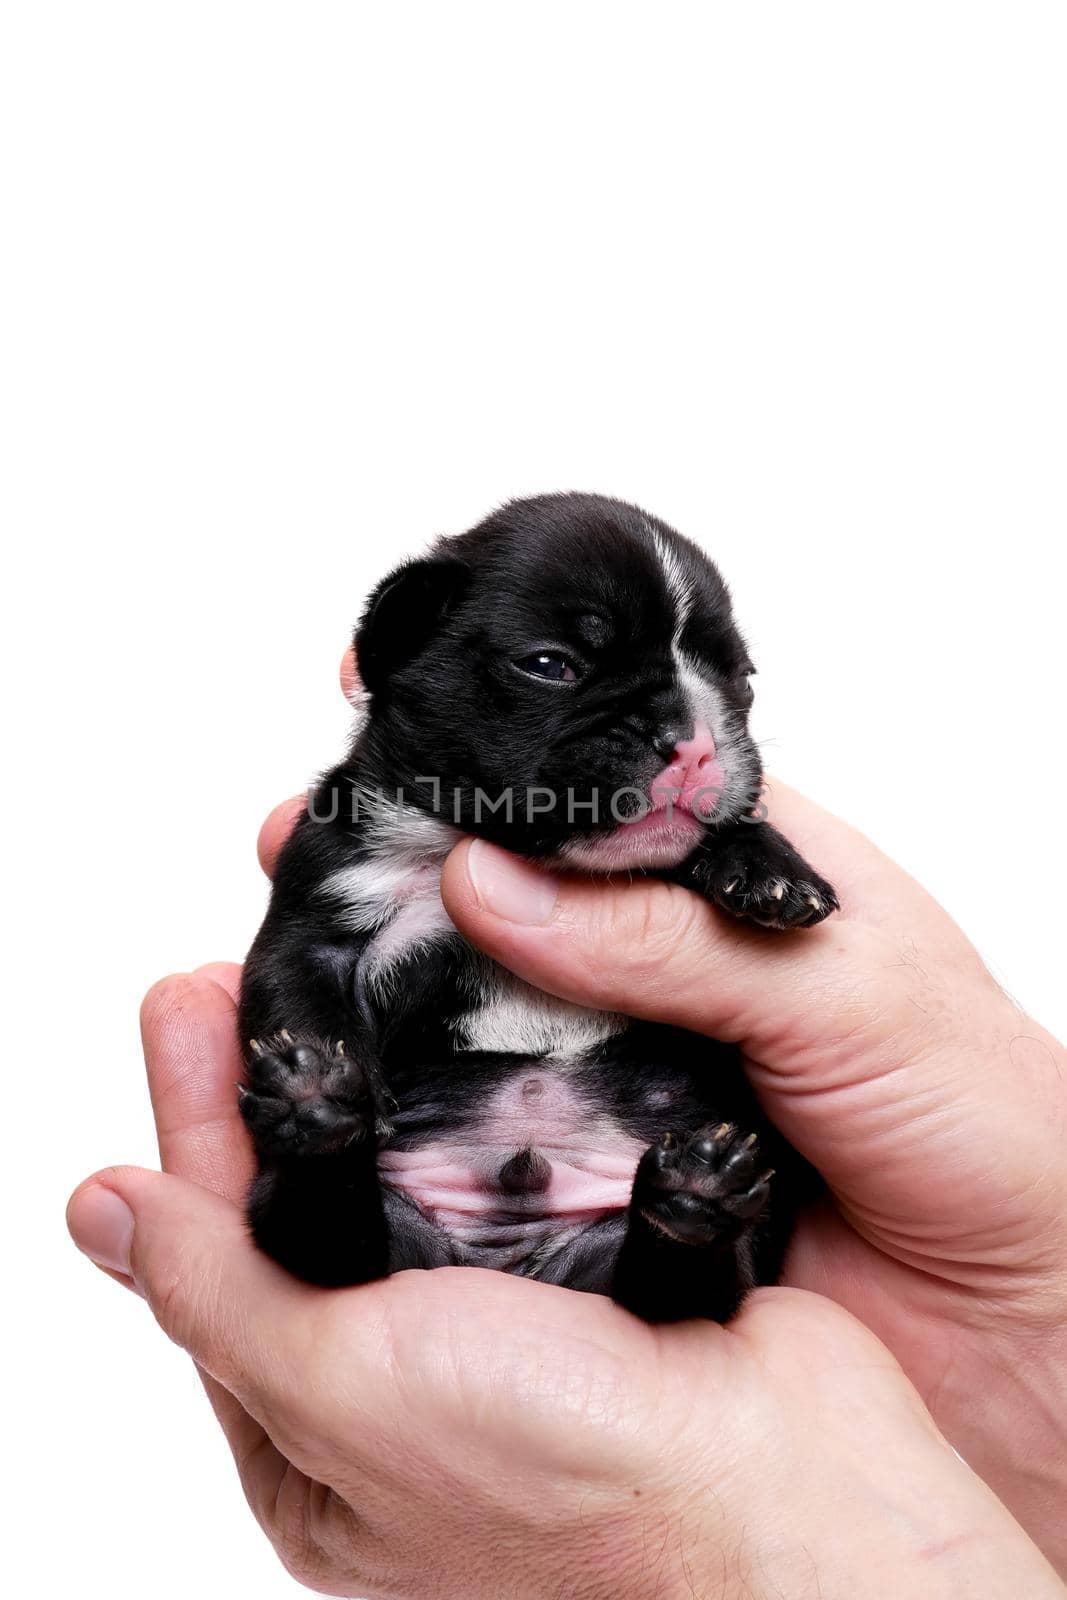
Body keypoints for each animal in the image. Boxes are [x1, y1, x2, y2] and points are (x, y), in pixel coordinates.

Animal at [238, 492, 838, 1318]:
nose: (693, 741)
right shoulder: (322, 910)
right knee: (328, 1236)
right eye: (550, 665)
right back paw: (315, 1115)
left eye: (739, 678)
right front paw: (320, 1073)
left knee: (680, 1290)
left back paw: (695, 1199)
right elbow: (300, 994)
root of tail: (505, 1260)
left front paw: (768, 868)